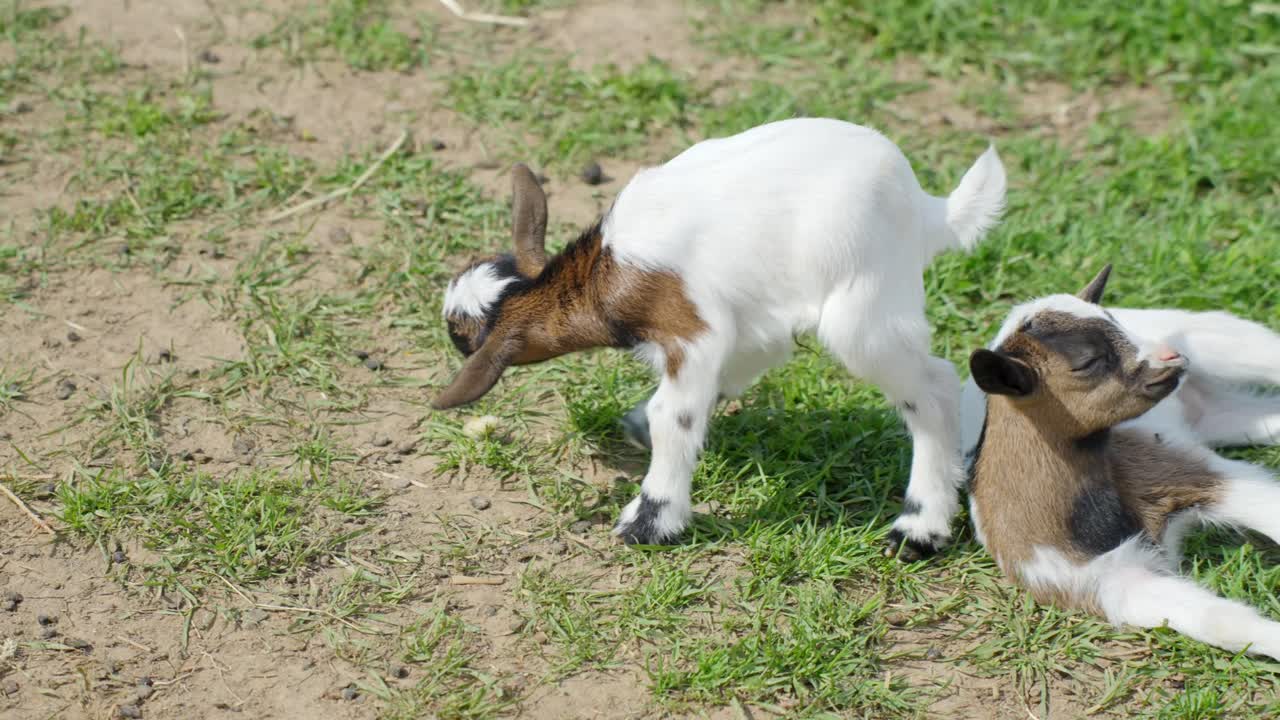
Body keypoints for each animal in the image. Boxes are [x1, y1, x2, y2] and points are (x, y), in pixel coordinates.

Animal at [435, 117, 1007, 551]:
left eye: (461, 335)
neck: (598, 273)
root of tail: (927, 208)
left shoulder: (689, 327)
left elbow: (674, 414)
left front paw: (651, 520)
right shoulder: (747, 320)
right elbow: (732, 369)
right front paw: (641, 427)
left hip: (864, 307)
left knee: (932, 386)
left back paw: (921, 527)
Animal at [964, 265, 1280, 659]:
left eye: (1115, 323)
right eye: (1087, 362)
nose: (1172, 356)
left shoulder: (1186, 471)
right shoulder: (1109, 582)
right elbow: (1222, 622)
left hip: (1226, 343)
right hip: (1219, 415)